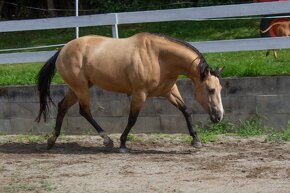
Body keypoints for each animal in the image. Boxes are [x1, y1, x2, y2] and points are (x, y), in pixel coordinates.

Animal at [34, 32, 224, 153]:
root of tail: (62, 50)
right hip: (80, 87)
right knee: (84, 110)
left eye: (220, 89)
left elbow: (186, 111)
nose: (219, 116)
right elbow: (132, 119)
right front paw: (123, 144)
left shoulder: (169, 91)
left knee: (63, 106)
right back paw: (107, 140)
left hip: (78, 87)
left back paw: (51, 141)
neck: (158, 57)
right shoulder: (139, 94)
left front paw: (196, 141)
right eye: (210, 89)